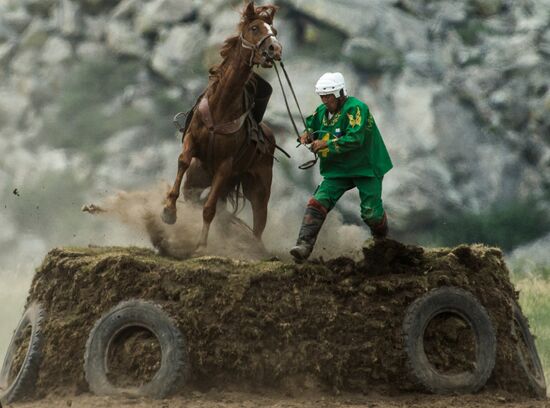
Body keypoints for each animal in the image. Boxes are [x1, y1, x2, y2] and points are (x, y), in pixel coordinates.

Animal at [161, 0, 282, 252]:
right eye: (254, 28)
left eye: (274, 31)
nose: (275, 49)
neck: (222, 106)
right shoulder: (192, 141)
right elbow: (183, 160)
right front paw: (168, 211)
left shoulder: (225, 167)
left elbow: (209, 209)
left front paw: (202, 245)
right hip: (197, 181)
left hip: (259, 189)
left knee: (258, 221)